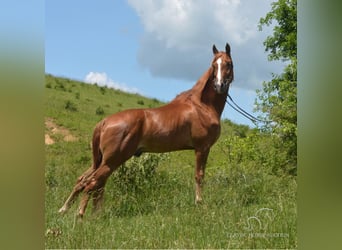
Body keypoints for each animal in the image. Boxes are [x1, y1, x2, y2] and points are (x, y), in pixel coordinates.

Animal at [60, 43, 234, 217]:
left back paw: (74, 210)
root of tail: (104, 122)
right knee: (92, 183)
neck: (201, 106)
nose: (219, 86)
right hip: (112, 160)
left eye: (228, 64)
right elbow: (199, 176)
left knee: (86, 181)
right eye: (214, 65)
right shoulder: (202, 148)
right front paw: (199, 202)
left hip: (101, 161)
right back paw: (80, 214)